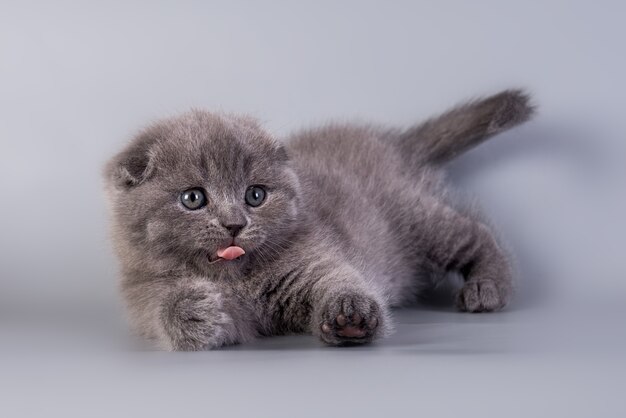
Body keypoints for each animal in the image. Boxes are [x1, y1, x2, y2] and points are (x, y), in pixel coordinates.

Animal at [102, 90, 532, 352]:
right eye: (193, 198)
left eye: (255, 195)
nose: (235, 224)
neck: (239, 281)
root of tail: (393, 144)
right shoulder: (143, 293)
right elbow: (173, 313)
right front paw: (194, 310)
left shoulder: (314, 257)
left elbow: (339, 278)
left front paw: (350, 315)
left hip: (417, 219)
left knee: (475, 233)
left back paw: (486, 288)